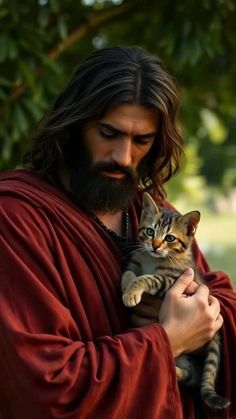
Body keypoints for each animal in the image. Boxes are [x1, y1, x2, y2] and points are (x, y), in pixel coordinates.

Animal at [122, 195, 230, 412]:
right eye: (150, 232)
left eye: (170, 238)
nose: (155, 245)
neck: (152, 259)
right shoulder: (135, 262)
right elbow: (129, 273)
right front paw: (126, 288)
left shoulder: (171, 280)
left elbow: (146, 278)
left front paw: (132, 292)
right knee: (192, 376)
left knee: (193, 375)